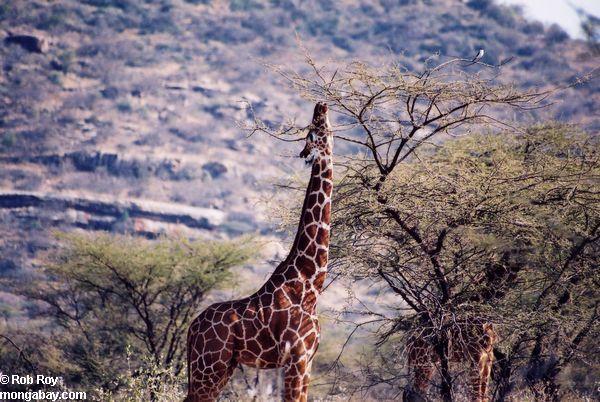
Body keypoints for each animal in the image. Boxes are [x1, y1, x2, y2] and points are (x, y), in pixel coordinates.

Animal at [185, 102, 336, 400]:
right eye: (313, 131)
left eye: (322, 126)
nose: (321, 105)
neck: (309, 286)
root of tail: (191, 330)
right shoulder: (296, 360)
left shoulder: (308, 362)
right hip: (209, 367)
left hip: (221, 368)